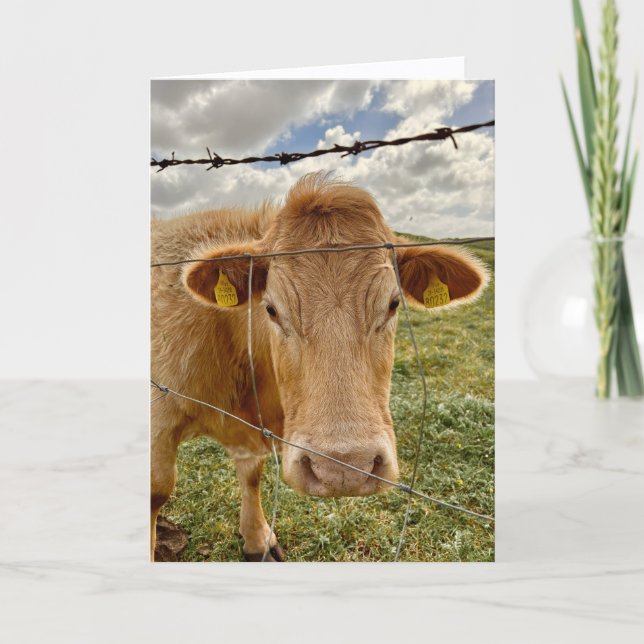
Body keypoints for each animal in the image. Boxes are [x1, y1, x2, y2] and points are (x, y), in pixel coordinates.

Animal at [151, 172, 488, 561]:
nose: (343, 468)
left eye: (393, 304)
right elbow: (157, 490)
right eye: (271, 309)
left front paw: (257, 539)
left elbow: (251, 474)